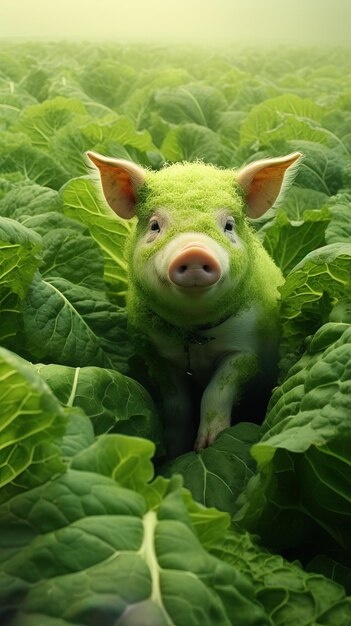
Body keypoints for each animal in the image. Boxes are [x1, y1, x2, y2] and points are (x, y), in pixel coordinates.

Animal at [87, 149, 302, 456]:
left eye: (228, 225)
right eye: (155, 225)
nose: (194, 252)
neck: (194, 333)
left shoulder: (245, 351)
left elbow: (215, 392)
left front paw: (208, 447)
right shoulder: (158, 356)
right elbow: (177, 406)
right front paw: (175, 451)